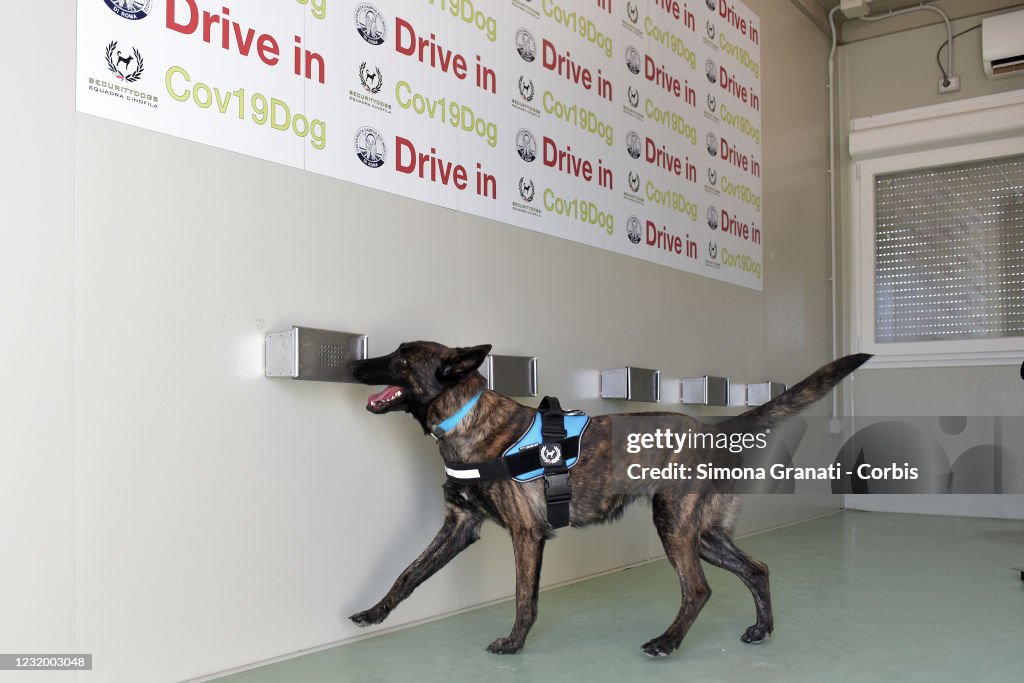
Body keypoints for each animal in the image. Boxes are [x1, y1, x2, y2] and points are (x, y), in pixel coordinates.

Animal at [348, 344, 868, 659]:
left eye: (400, 358)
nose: (354, 367)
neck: (465, 419)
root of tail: (712, 429)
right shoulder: (458, 527)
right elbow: (408, 573)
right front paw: (374, 612)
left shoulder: (526, 533)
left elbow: (523, 596)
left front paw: (514, 642)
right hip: (704, 534)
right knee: (756, 568)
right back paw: (761, 630)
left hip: (674, 524)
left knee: (698, 589)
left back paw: (667, 641)